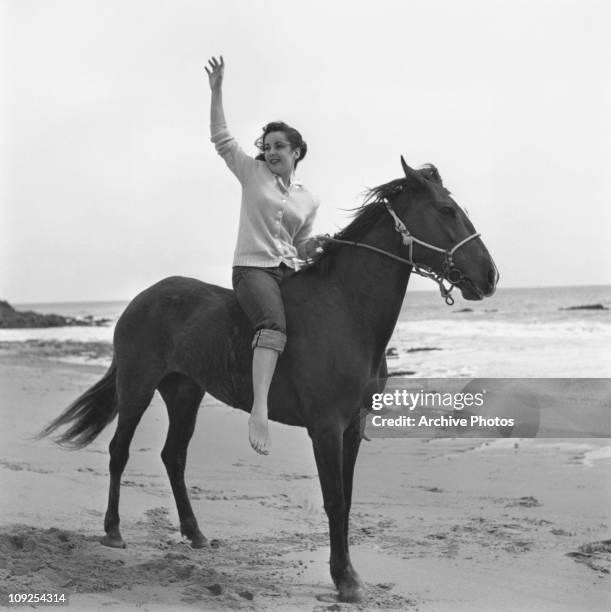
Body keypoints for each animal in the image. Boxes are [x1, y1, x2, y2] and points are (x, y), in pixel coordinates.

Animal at [38, 158, 500, 604]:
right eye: (446, 210)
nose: (491, 276)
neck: (346, 310)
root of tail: (141, 299)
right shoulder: (326, 428)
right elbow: (334, 500)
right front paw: (345, 580)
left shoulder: (353, 426)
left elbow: (347, 498)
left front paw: (346, 573)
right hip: (137, 388)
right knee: (119, 451)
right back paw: (113, 531)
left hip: (185, 393)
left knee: (173, 457)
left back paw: (195, 533)